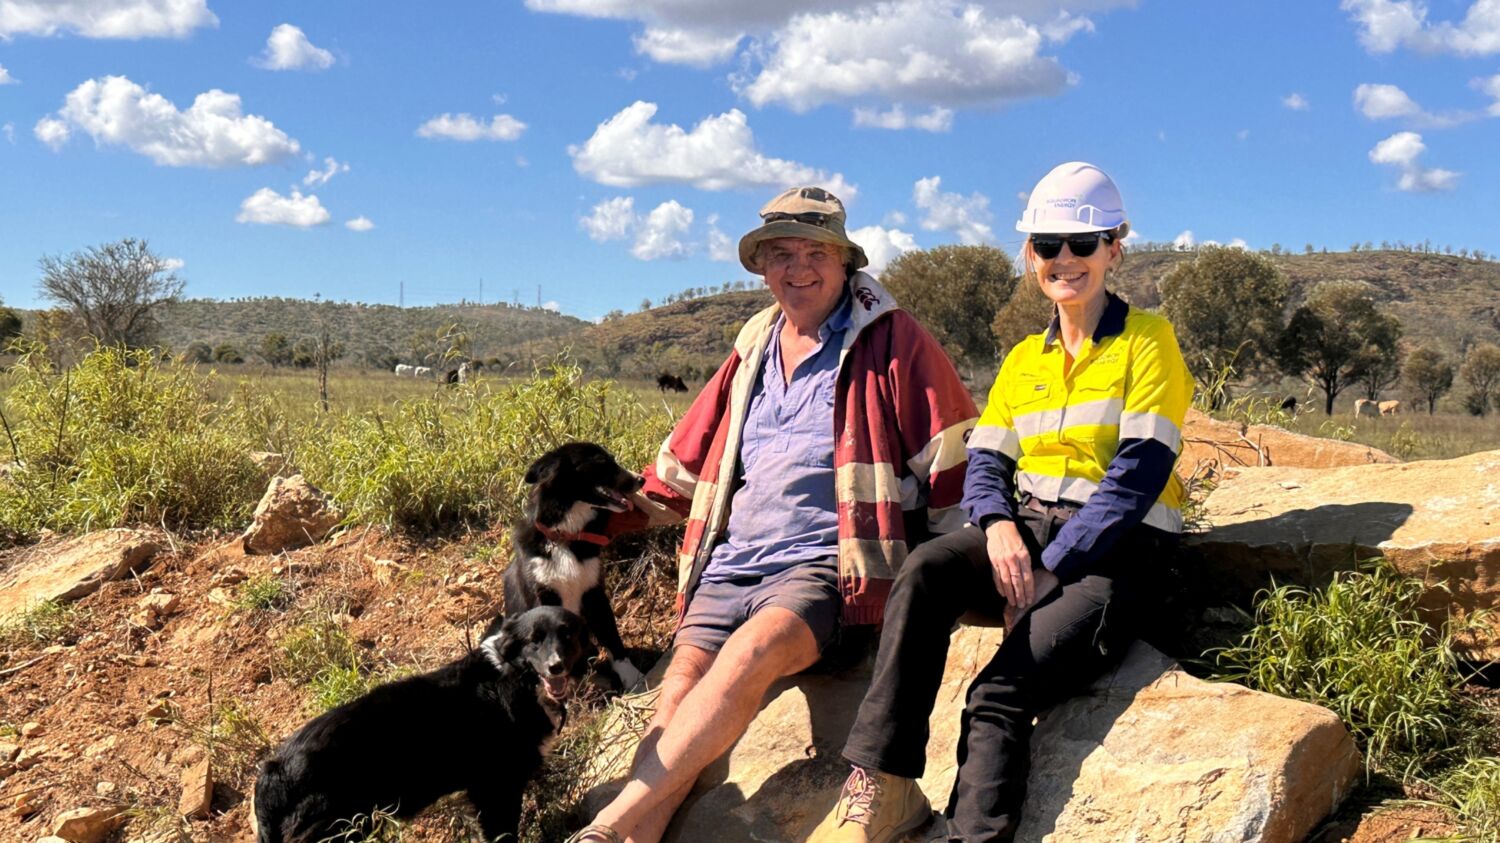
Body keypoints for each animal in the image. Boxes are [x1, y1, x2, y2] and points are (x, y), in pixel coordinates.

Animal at [504, 441, 645, 690]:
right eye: (601, 462)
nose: (641, 480)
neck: (564, 537)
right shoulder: (542, 595)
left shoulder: (594, 594)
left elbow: (612, 636)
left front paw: (632, 677)